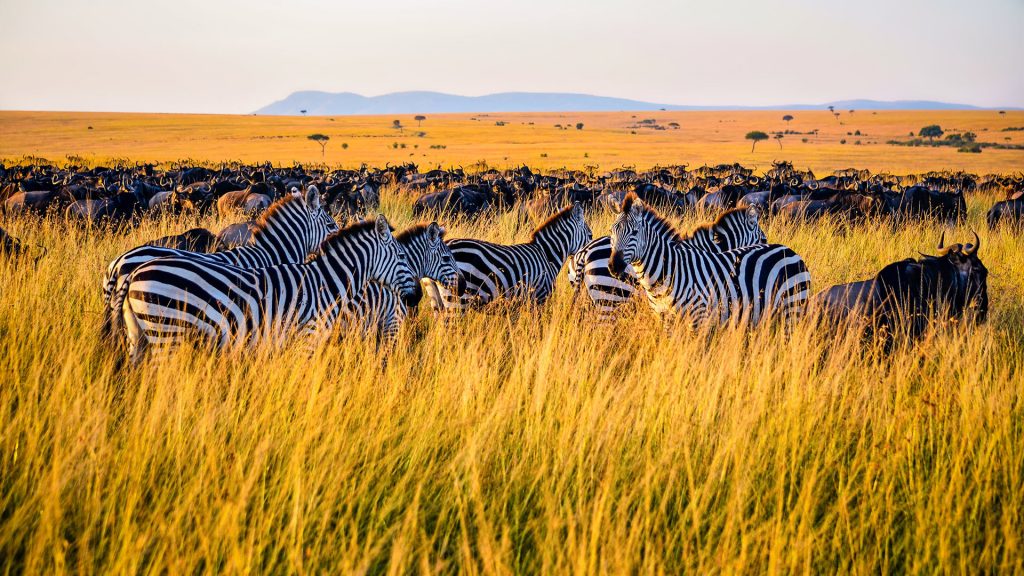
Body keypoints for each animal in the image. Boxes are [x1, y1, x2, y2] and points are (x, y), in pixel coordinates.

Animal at [120, 213, 419, 360]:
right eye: (402, 256)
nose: (416, 297)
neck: (327, 283)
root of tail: (134, 272)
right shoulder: (307, 338)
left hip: (140, 336)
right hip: (166, 332)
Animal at [602, 193, 811, 325]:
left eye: (635, 232)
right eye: (612, 231)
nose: (613, 266)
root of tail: (791, 251)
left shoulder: (700, 317)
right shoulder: (665, 318)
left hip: (792, 308)